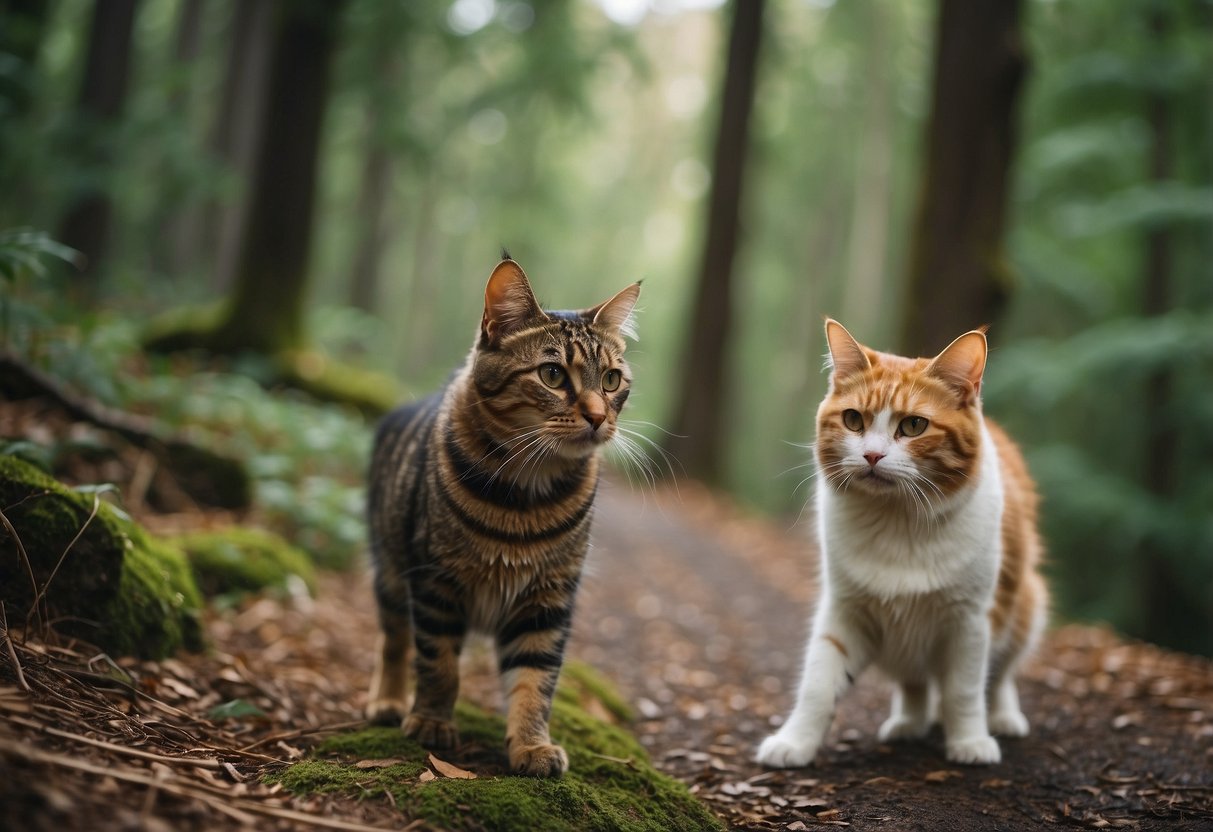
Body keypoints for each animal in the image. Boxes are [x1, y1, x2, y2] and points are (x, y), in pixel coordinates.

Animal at [361, 257, 640, 781]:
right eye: (552, 374)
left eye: (611, 381)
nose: (598, 416)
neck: (524, 500)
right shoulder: (436, 583)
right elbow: (438, 663)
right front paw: (431, 720)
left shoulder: (548, 599)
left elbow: (536, 680)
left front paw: (531, 744)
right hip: (389, 567)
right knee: (394, 640)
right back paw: (388, 701)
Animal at [756, 320, 1052, 771]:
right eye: (853, 420)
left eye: (913, 426)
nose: (872, 455)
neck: (897, 521)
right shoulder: (845, 612)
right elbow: (818, 683)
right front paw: (795, 741)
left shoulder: (969, 622)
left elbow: (964, 690)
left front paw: (970, 741)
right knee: (915, 684)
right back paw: (909, 723)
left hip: (1025, 607)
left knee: (1000, 675)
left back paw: (1002, 717)